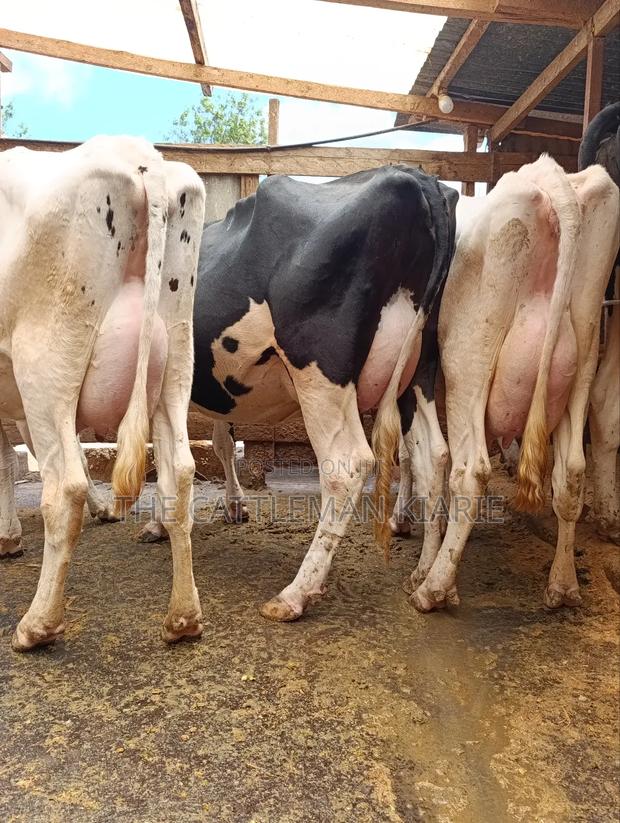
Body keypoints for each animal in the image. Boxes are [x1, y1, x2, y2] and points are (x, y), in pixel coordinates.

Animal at [0, 135, 205, 650]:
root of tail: (143, 158)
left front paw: (7, 536)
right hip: (176, 355)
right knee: (180, 474)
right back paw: (183, 618)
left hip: (47, 360)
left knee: (64, 488)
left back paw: (37, 624)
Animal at [140, 165, 458, 621]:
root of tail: (414, 177)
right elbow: (220, 442)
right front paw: (233, 505)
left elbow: (159, 453)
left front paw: (157, 522)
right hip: (419, 370)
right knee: (434, 455)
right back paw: (427, 579)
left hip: (320, 369)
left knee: (348, 465)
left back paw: (296, 593)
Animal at [394, 154, 619, 612]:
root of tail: (548, 179)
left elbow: (419, 459)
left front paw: (410, 537)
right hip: (582, 356)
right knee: (571, 471)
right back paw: (563, 585)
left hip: (468, 359)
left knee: (472, 469)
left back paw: (435, 588)